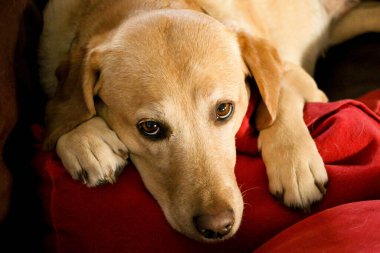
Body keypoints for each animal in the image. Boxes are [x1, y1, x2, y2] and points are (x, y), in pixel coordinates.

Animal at [37, 0, 380, 242]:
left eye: (224, 109)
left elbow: (277, 99)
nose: (218, 227)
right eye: (150, 127)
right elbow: (60, 115)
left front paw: (295, 165)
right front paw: (84, 140)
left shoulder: (293, 73)